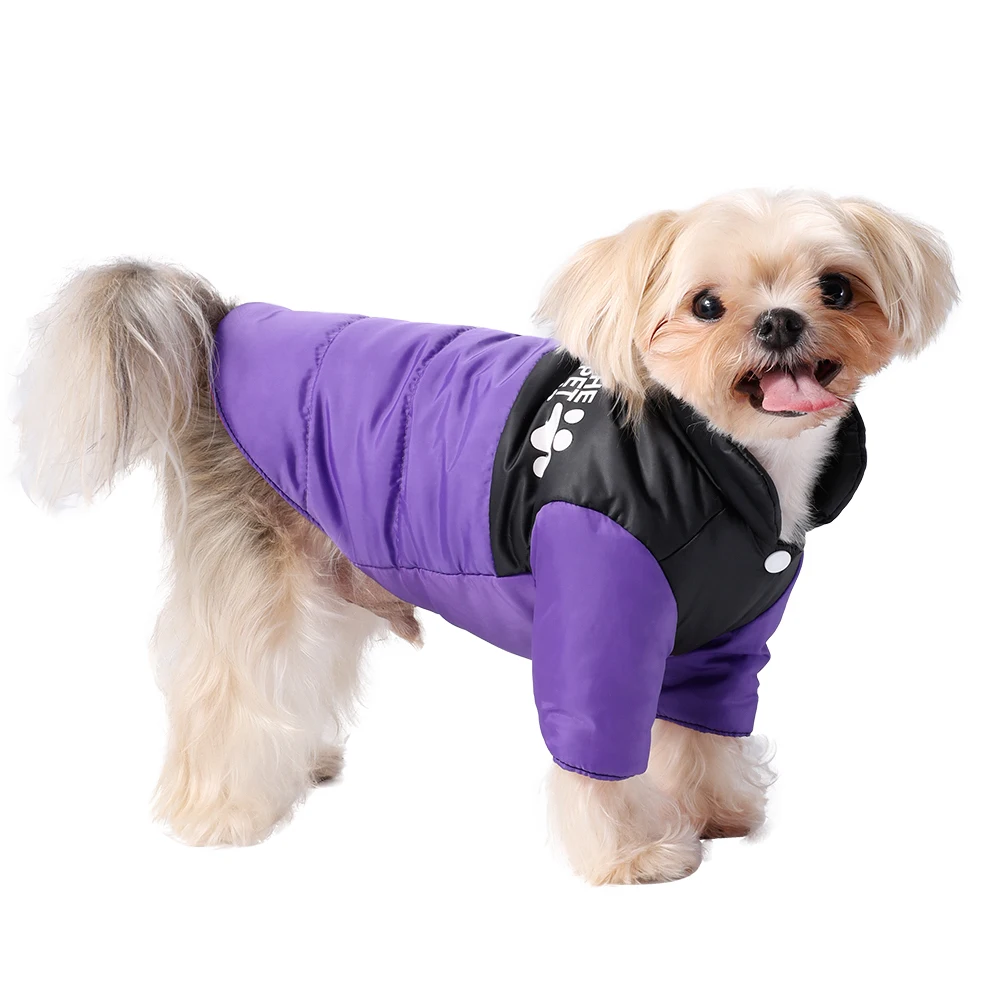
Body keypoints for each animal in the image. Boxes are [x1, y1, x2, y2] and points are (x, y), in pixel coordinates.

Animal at [15, 189, 957, 884]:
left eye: (836, 287)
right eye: (705, 305)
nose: (779, 322)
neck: (721, 461)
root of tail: (220, 323)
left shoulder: (726, 638)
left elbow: (706, 725)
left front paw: (718, 810)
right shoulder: (601, 624)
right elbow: (599, 747)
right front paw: (632, 853)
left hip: (322, 567)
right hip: (252, 578)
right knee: (227, 688)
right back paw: (220, 811)